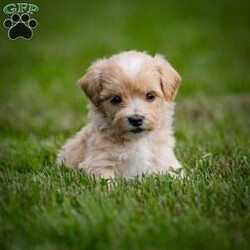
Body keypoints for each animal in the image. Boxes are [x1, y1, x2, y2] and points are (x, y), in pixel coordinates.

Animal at [56, 50, 183, 178]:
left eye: (150, 95)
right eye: (116, 99)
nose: (136, 119)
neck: (137, 142)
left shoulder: (165, 160)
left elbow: (175, 174)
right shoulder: (99, 162)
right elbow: (106, 179)